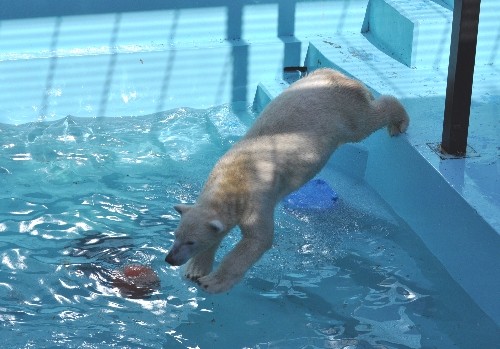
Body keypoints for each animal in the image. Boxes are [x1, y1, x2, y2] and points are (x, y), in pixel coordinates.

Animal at [166, 67, 408, 290]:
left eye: (190, 241)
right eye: (176, 235)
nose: (169, 259)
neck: (233, 180)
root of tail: (336, 74)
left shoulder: (257, 198)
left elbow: (258, 240)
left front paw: (212, 282)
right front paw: (195, 271)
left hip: (344, 111)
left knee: (366, 122)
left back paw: (398, 122)